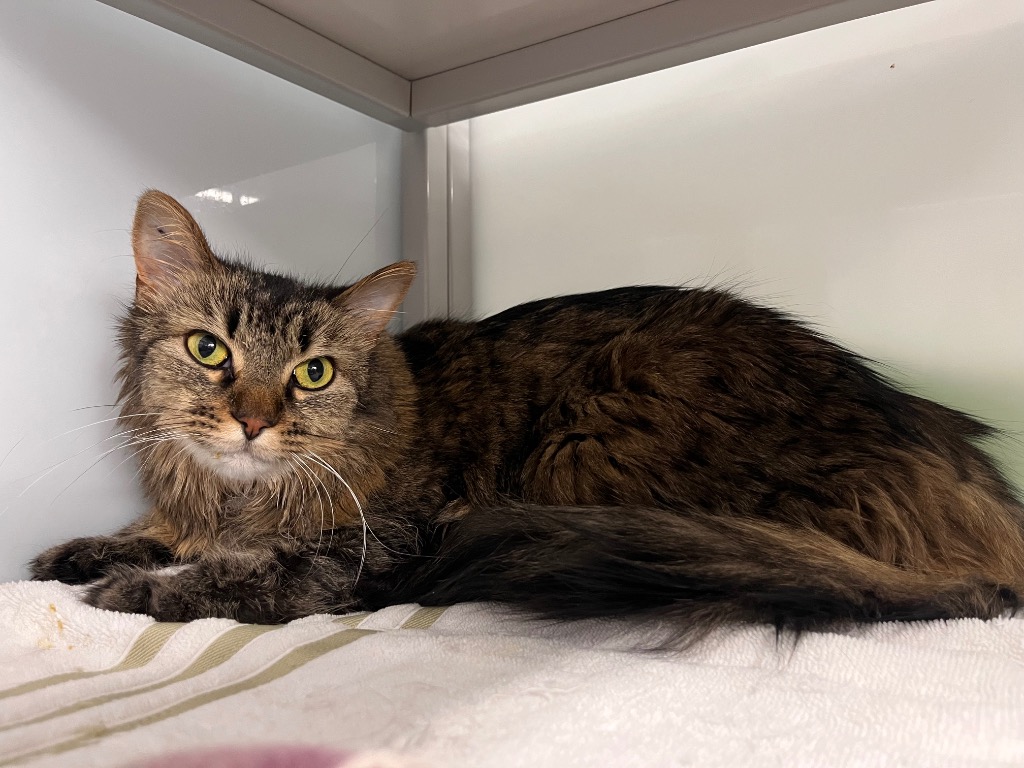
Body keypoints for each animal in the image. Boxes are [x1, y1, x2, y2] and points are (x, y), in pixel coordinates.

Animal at [30, 190, 1024, 641]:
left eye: (313, 374)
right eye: (210, 352)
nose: (252, 422)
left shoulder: (380, 545)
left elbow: (247, 577)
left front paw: (131, 590)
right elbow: (156, 532)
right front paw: (83, 551)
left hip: (588, 438)